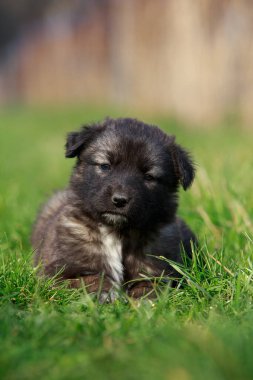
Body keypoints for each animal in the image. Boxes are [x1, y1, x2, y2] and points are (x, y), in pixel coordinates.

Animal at [31, 117, 197, 302]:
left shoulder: (159, 271)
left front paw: (143, 299)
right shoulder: (58, 273)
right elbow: (90, 279)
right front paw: (105, 292)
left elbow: (151, 285)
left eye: (149, 176)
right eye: (105, 166)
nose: (119, 200)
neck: (116, 233)